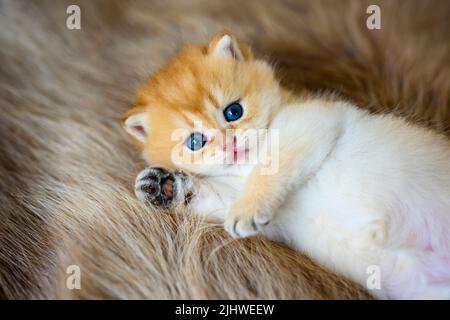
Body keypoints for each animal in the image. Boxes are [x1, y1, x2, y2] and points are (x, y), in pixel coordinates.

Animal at [120, 31, 450, 298]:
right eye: (195, 142)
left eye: (233, 111)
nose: (230, 144)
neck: (245, 167)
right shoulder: (269, 216)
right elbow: (212, 196)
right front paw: (163, 186)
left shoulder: (310, 120)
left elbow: (269, 169)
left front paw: (247, 208)